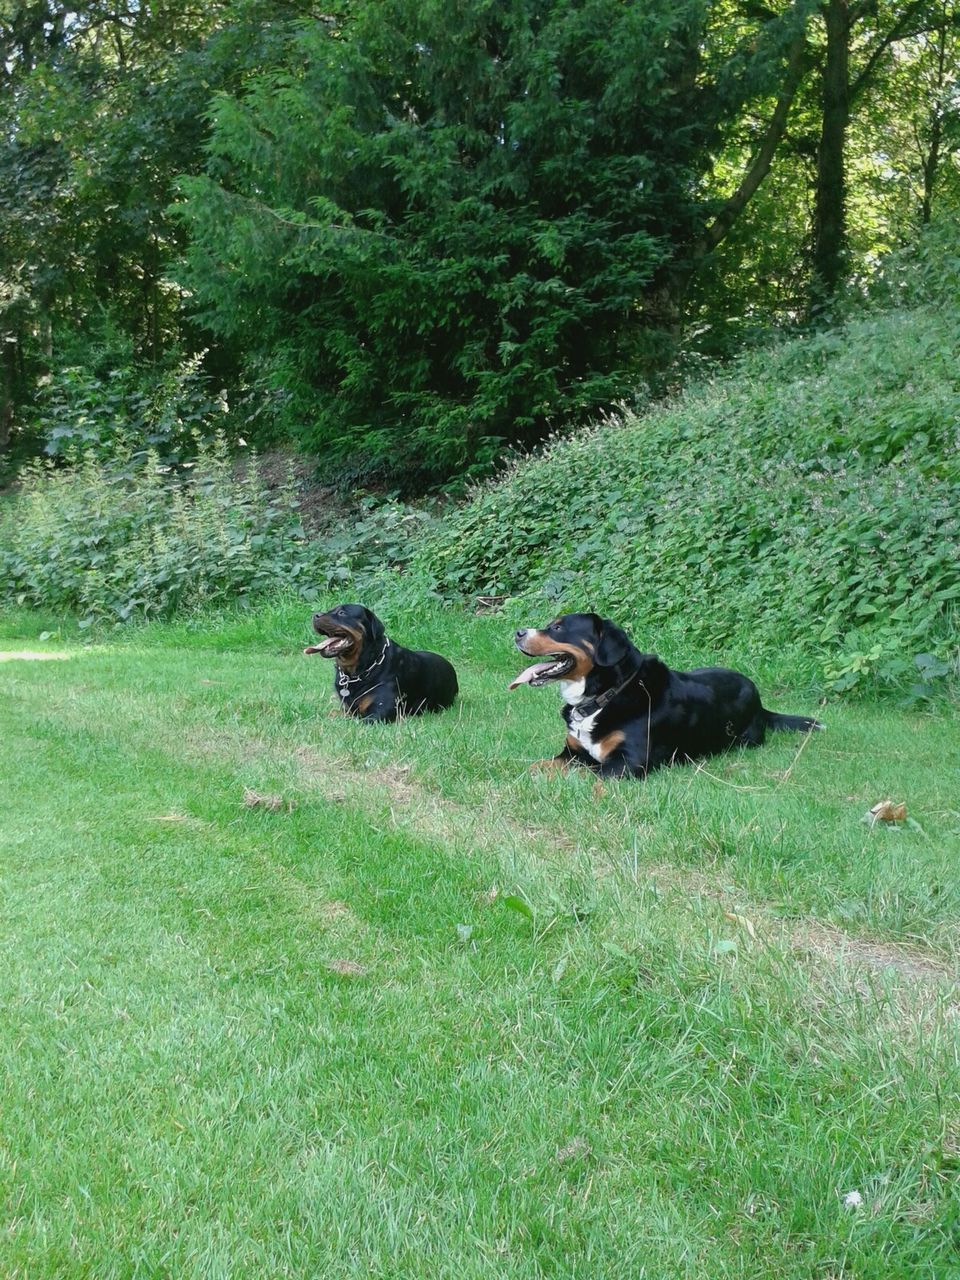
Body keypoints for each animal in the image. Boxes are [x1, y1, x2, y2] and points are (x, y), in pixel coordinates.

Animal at [514, 611, 824, 778]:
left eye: (557, 627)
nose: (518, 632)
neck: (605, 696)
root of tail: (759, 698)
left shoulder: (628, 762)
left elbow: (586, 773)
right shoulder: (571, 753)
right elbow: (536, 765)